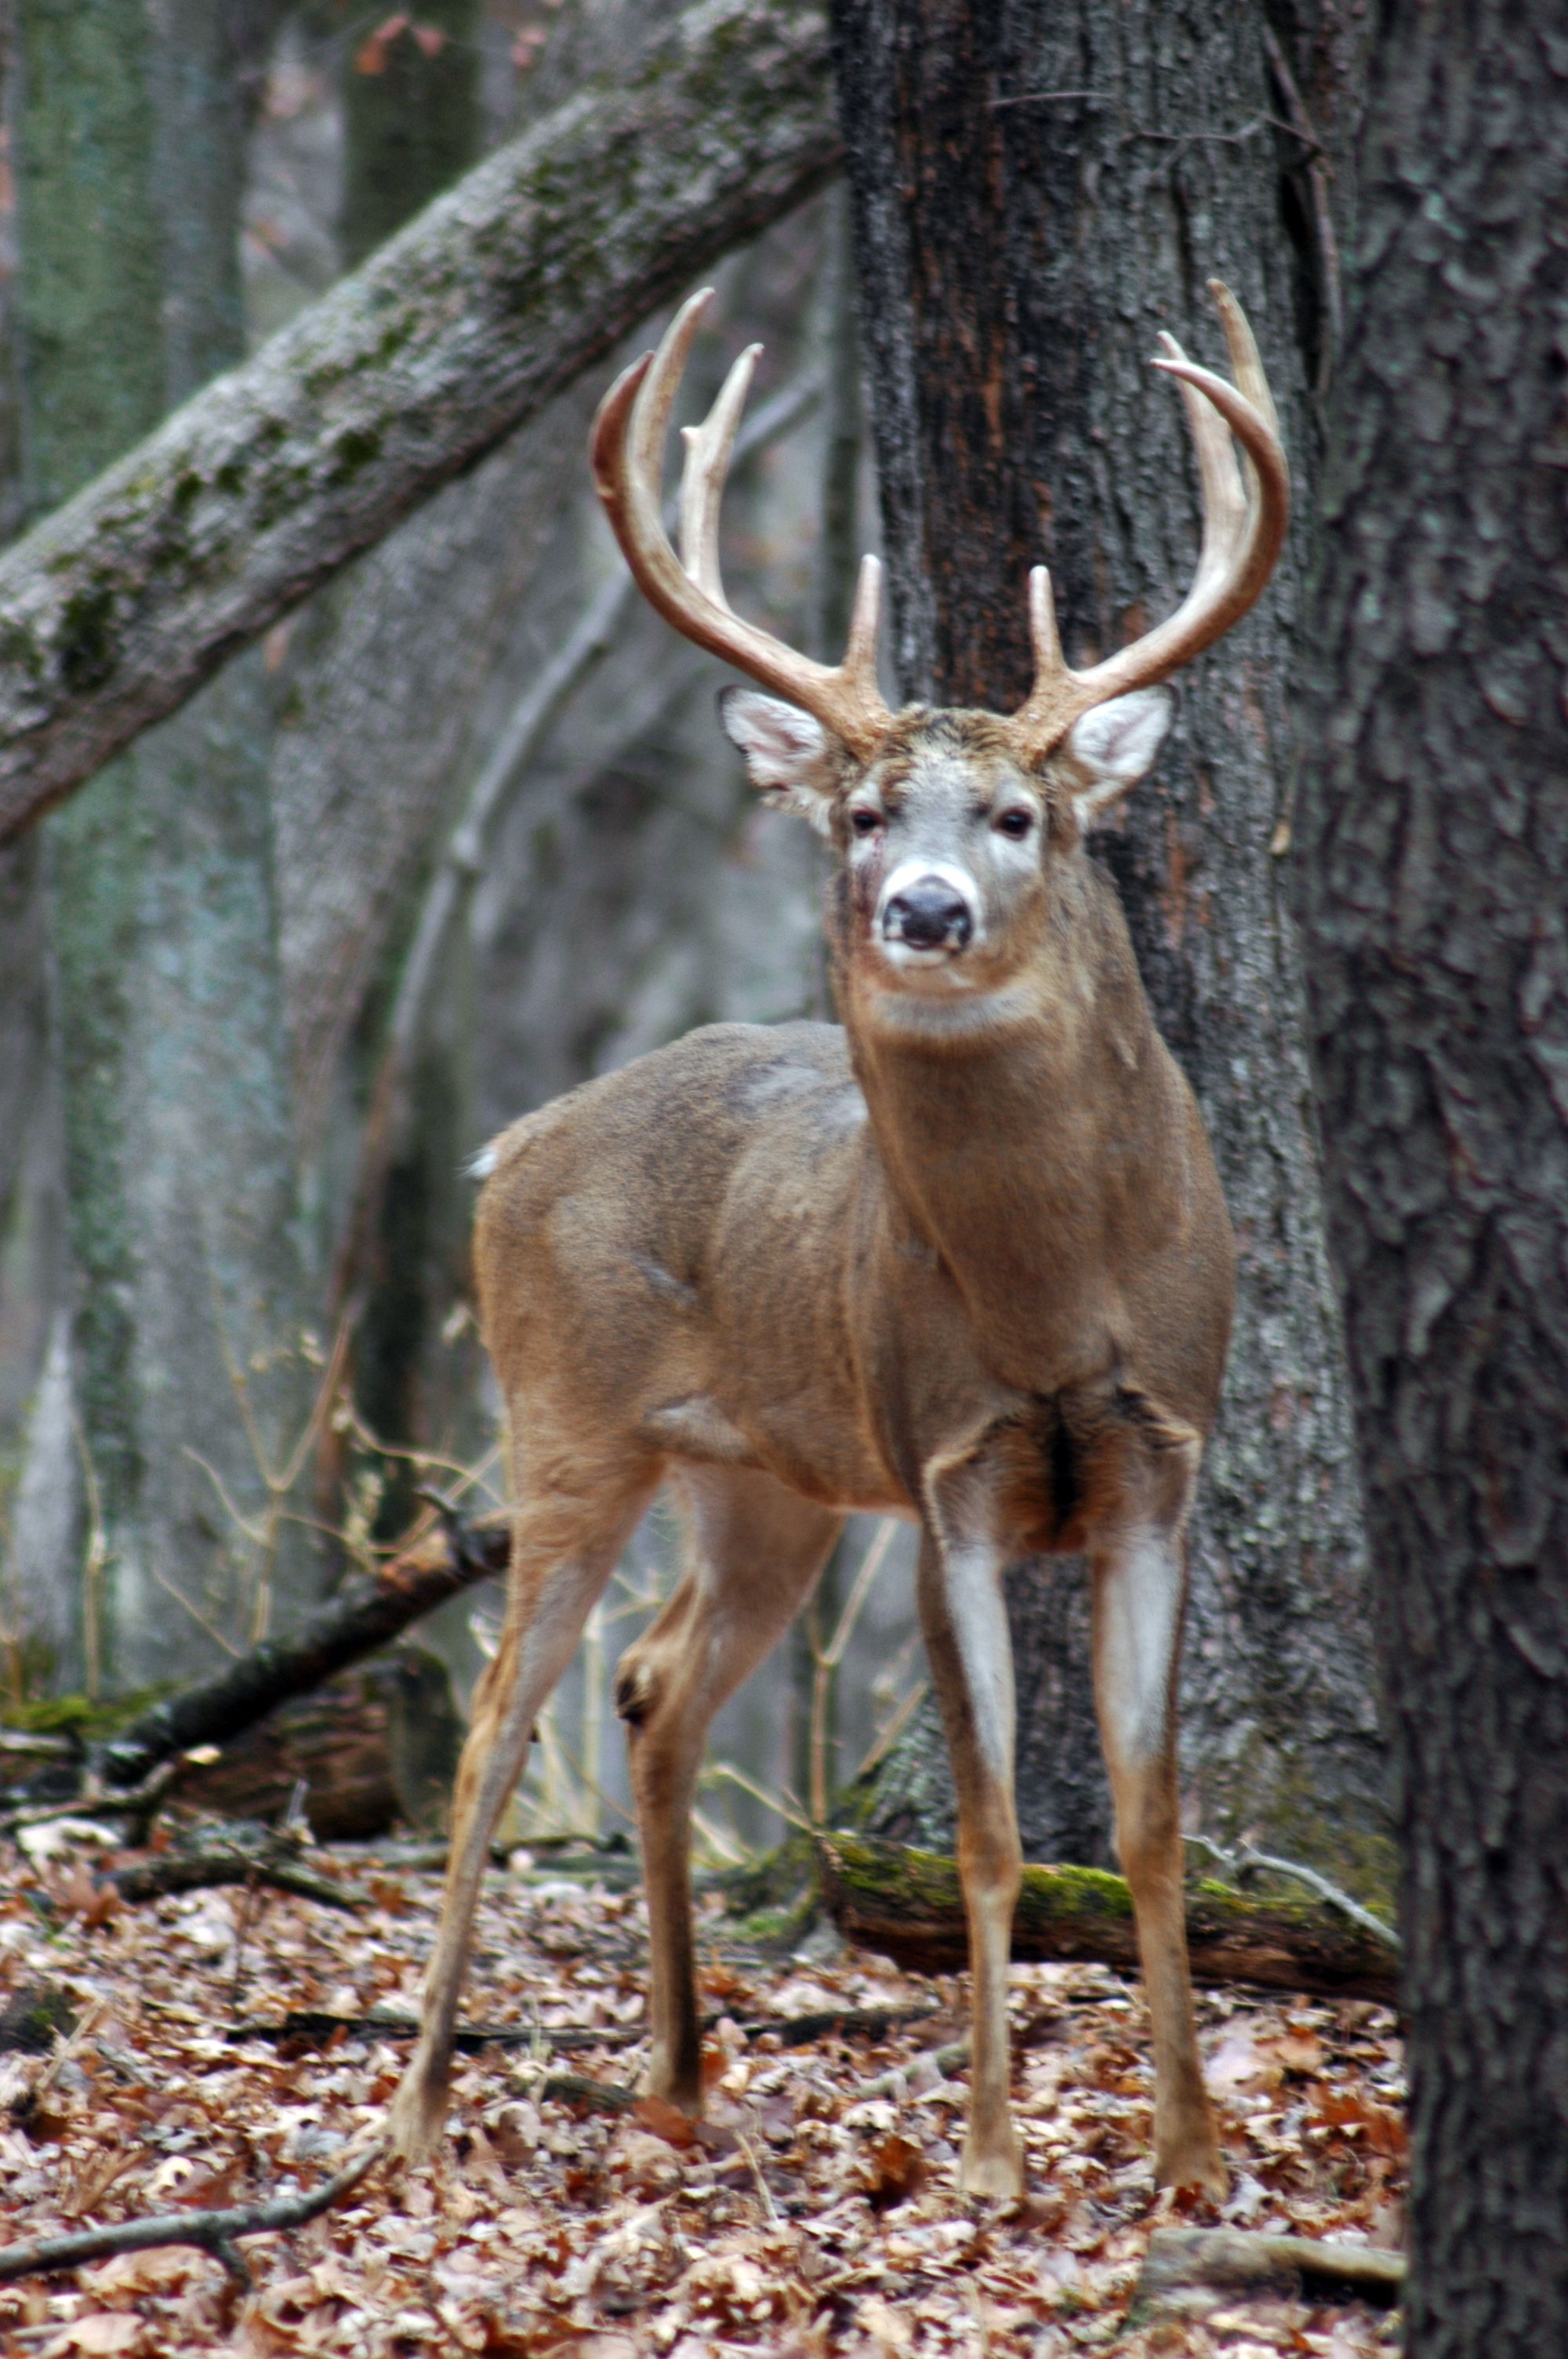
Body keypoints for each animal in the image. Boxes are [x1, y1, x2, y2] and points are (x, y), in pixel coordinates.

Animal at [387, 277, 1288, 2201]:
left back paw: (681, 2077)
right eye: (868, 813)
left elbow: (1153, 1813)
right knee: (499, 1722)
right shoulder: (936, 1458)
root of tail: (515, 1142)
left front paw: (1184, 2153)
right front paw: (998, 2155)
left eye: (1019, 815)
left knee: (654, 1682)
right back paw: (413, 2113)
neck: (1054, 1302)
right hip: (569, 1419)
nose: (923, 908)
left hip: (768, 1483)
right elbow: (992, 1822)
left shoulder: (1164, 1454)